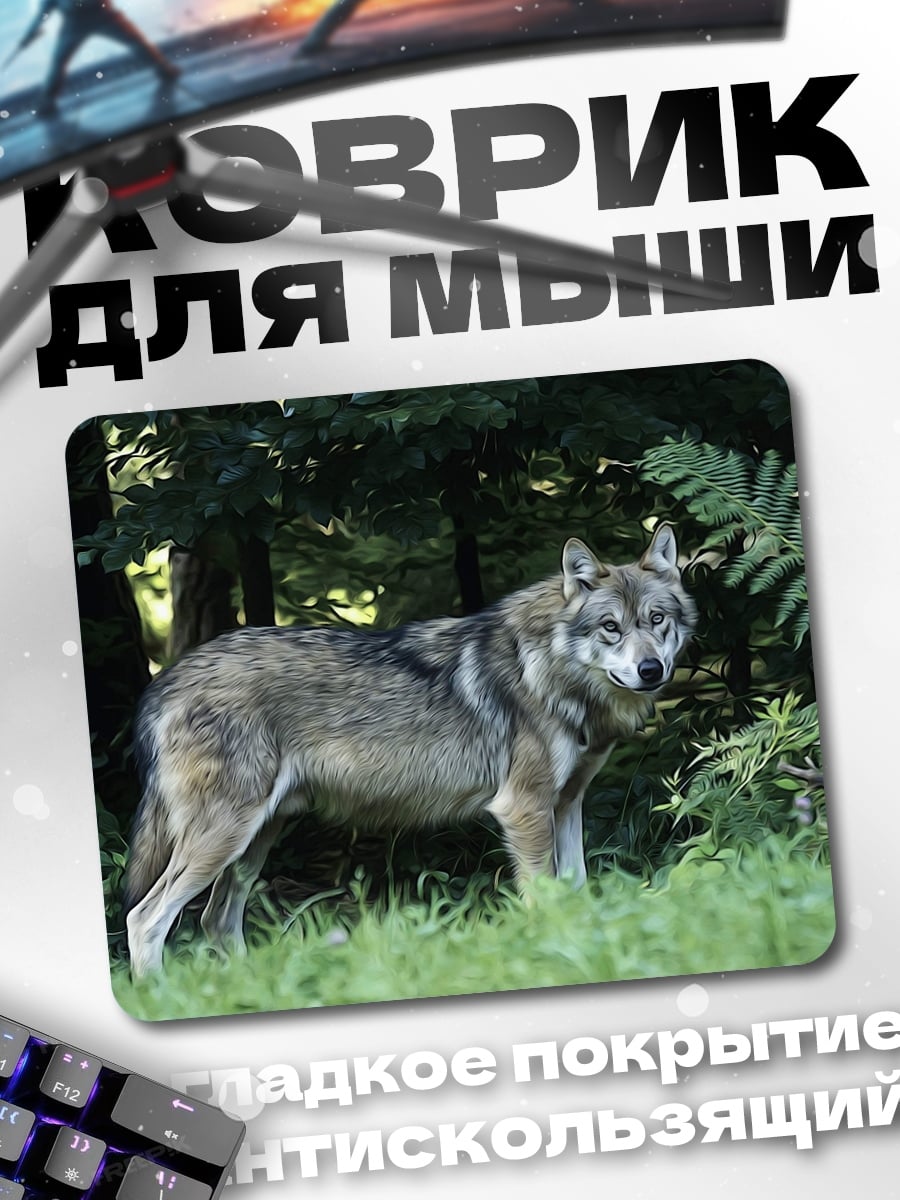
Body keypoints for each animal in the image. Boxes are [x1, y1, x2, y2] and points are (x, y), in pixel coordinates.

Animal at [123, 523, 695, 976]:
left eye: (657, 620)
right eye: (610, 627)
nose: (651, 670)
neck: (550, 668)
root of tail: (166, 680)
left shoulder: (568, 803)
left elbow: (575, 891)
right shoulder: (524, 809)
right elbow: (546, 899)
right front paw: (555, 953)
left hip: (255, 839)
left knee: (216, 920)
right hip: (225, 836)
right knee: (144, 918)